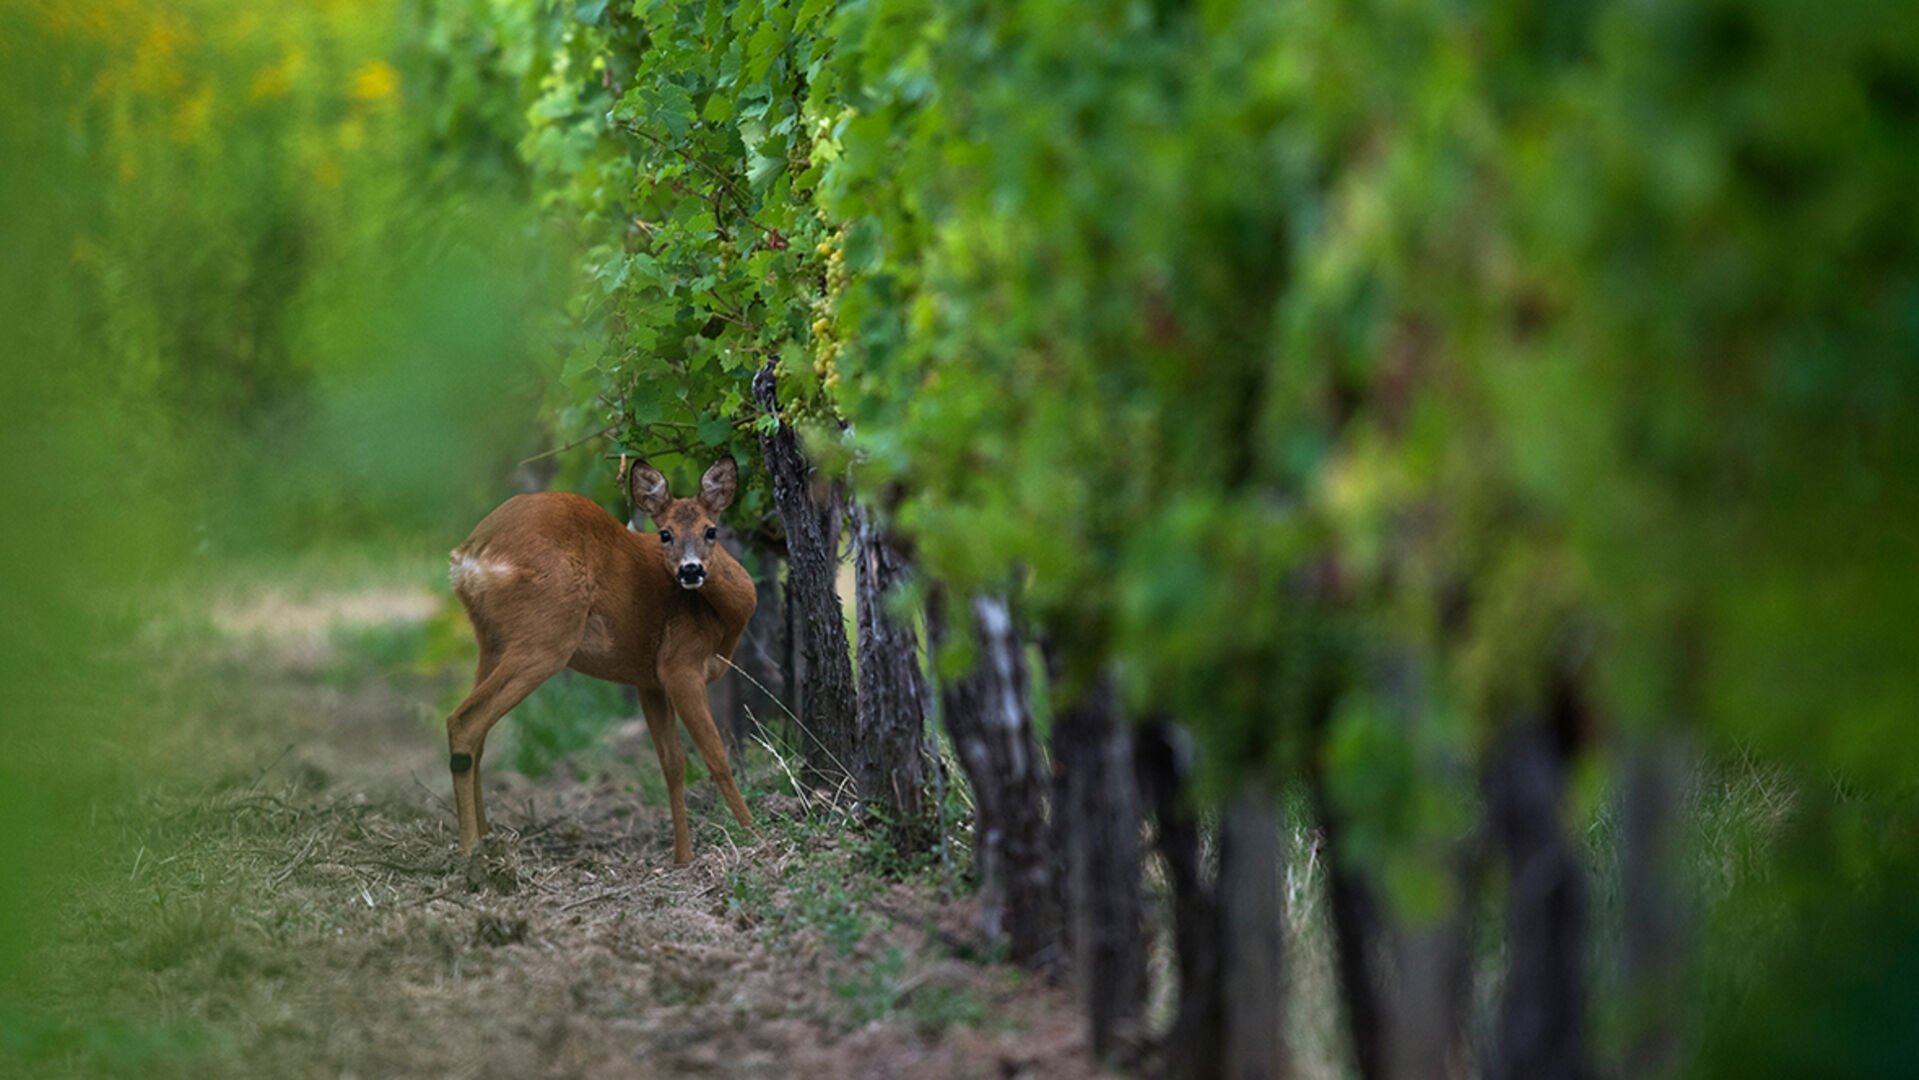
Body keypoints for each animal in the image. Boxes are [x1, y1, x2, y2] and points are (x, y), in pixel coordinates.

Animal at [445, 454, 752, 863]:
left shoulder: (649, 679)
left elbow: (672, 764)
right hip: (546, 638)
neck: (723, 621)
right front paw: (754, 835)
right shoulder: (680, 665)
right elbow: (716, 757)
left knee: (477, 735)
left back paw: (488, 838)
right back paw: (471, 850)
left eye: (711, 530)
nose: (690, 570)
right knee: (463, 722)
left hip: (491, 641)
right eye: (665, 533)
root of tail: (470, 557)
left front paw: (682, 857)